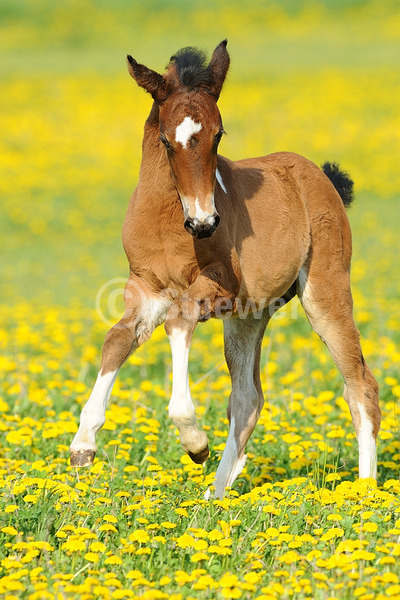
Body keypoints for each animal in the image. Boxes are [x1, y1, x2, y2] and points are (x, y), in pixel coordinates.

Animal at [69, 38, 382, 496]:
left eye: (219, 134)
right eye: (165, 140)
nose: (204, 222)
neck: (168, 223)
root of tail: (320, 176)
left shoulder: (212, 289)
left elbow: (178, 322)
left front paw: (194, 442)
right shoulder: (143, 289)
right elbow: (118, 339)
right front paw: (83, 444)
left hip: (324, 294)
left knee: (360, 385)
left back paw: (364, 490)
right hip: (249, 317)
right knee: (248, 398)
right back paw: (215, 495)